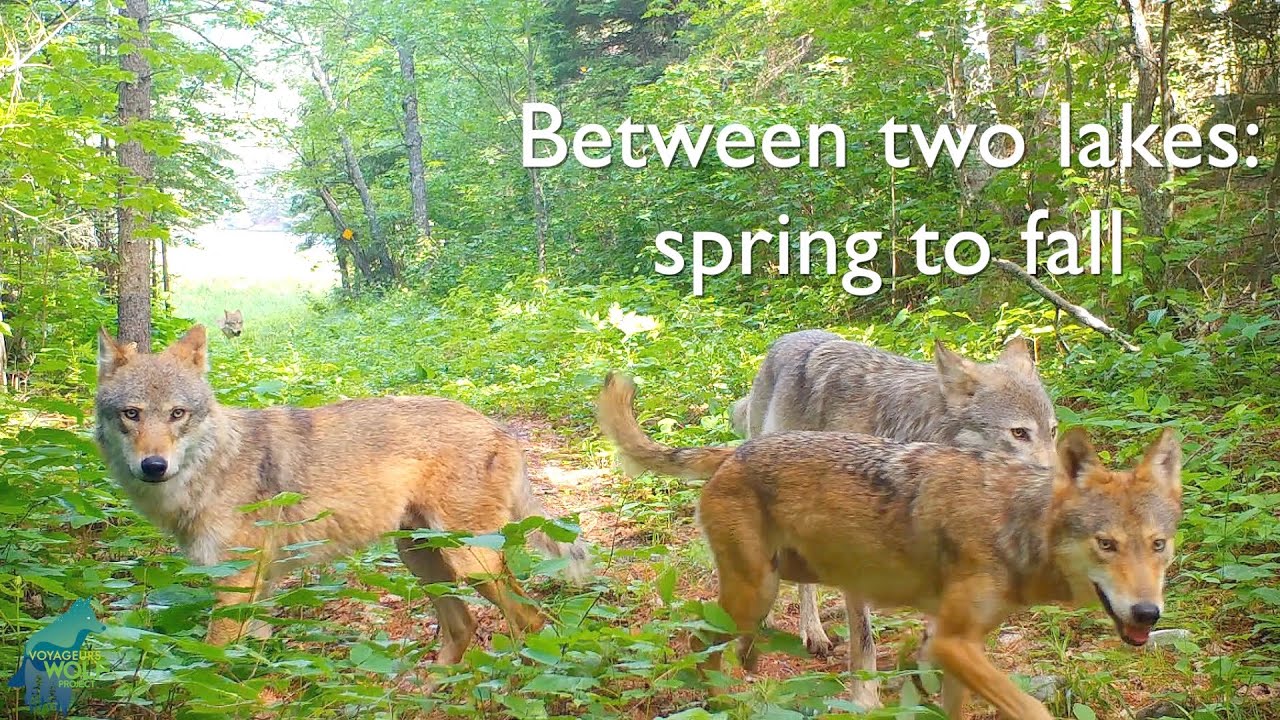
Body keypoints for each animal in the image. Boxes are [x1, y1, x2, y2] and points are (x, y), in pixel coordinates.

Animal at [96, 325, 588, 666]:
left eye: (177, 414)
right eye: (131, 414)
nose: (153, 466)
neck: (216, 464)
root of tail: (498, 427)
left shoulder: (236, 583)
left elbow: (214, 665)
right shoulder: (262, 586)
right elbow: (250, 662)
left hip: (470, 562)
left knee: (534, 621)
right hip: (422, 561)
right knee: (465, 625)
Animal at [599, 371, 1177, 712]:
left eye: (1159, 546)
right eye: (1106, 544)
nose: (1148, 613)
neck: (1013, 521)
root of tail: (735, 451)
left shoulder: (954, 646)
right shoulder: (953, 643)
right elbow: (1032, 707)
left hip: (776, 585)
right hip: (754, 592)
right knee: (698, 641)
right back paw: (720, 700)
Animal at [727, 333, 1054, 707]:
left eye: (1053, 431)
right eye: (1019, 433)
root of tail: (789, 337)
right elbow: (864, 641)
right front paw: (866, 701)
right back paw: (805, 630)